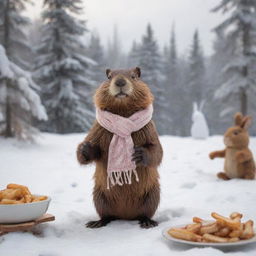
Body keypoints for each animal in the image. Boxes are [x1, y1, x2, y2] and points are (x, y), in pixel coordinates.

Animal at [77, 67, 163, 229]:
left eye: (134, 76)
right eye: (109, 76)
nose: (120, 82)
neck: (122, 113)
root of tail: (126, 216)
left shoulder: (149, 128)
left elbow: (157, 150)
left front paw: (139, 154)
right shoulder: (97, 128)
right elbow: (95, 149)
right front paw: (85, 148)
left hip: (153, 194)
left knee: (146, 212)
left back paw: (147, 222)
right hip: (99, 196)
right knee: (106, 215)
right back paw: (96, 223)